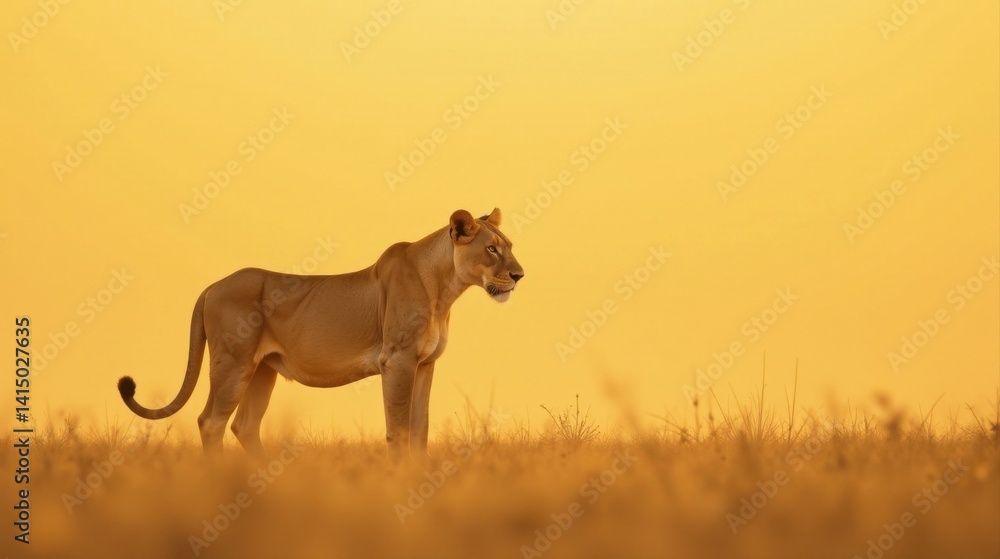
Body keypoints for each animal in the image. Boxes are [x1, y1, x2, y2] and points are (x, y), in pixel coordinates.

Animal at [117, 208, 523, 460]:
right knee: (211, 422)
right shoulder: (397, 360)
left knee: (244, 426)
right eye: (491, 248)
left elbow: (420, 429)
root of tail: (211, 287)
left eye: (509, 247)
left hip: (262, 371)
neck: (444, 289)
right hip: (232, 364)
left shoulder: (425, 364)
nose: (519, 275)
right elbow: (399, 428)